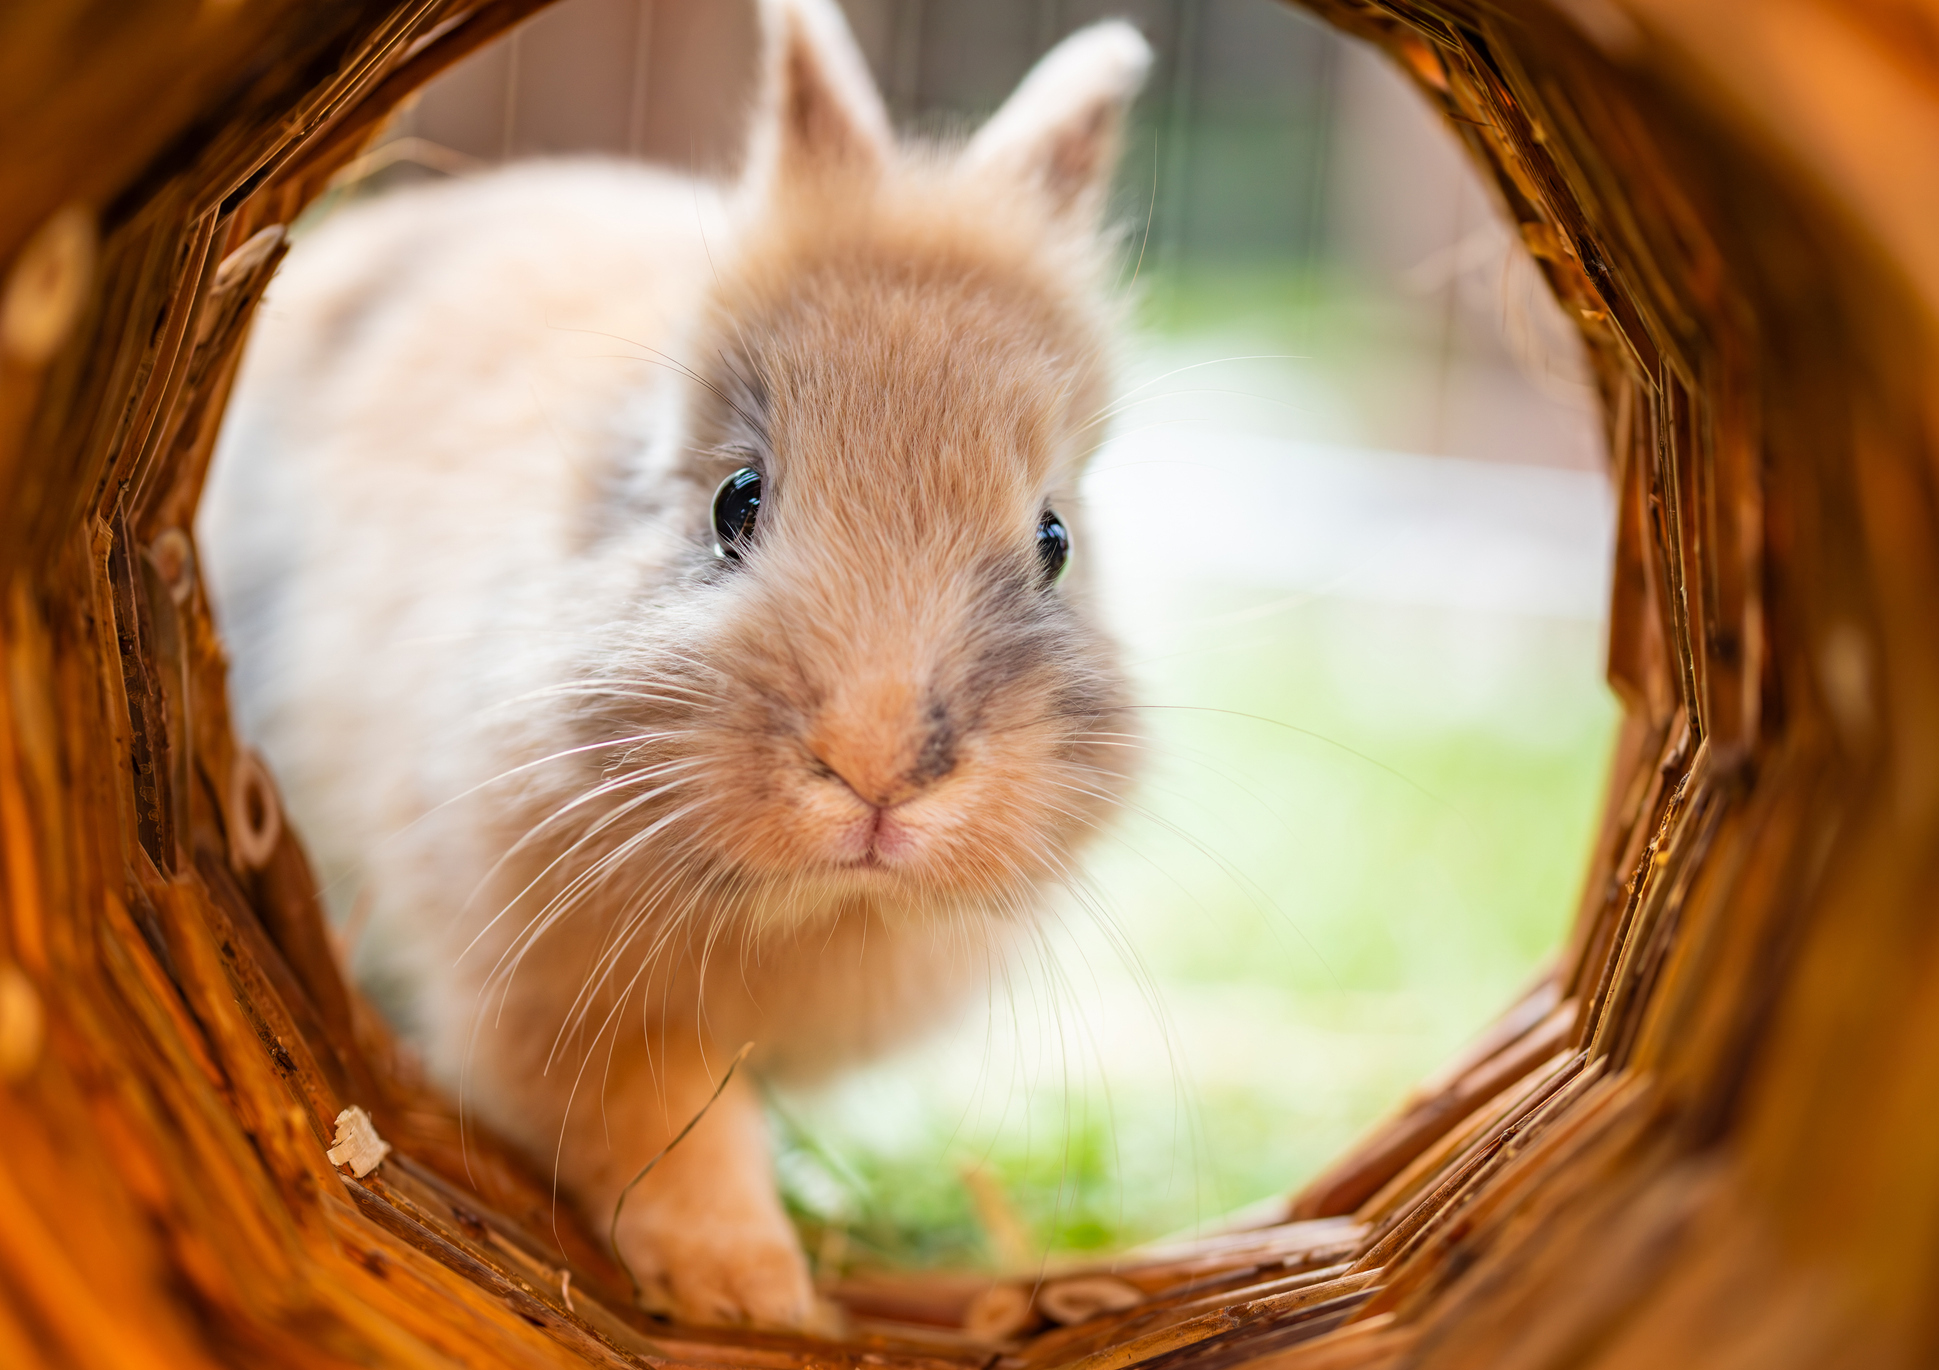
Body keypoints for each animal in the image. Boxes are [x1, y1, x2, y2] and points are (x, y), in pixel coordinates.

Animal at [200, 0, 1150, 1331]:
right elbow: (664, 1127)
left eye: (1055, 541)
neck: (804, 901)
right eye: (733, 501)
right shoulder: (565, 999)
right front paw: (745, 1292)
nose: (876, 769)